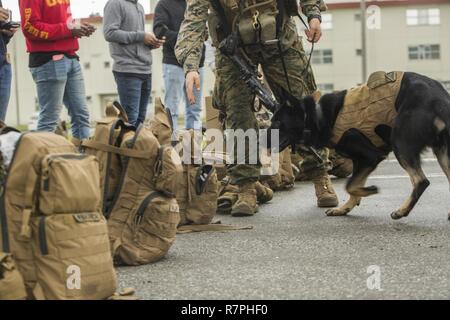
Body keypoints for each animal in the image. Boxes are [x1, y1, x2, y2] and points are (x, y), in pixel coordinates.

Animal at [270, 72, 450, 220]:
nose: (263, 141)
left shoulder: (370, 157)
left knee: (421, 181)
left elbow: (350, 185)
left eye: (277, 123)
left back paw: (401, 211)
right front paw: (345, 208)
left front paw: (370, 190)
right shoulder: (361, 161)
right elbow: (353, 186)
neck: (317, 115)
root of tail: (438, 98)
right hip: (442, 152)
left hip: (400, 143)